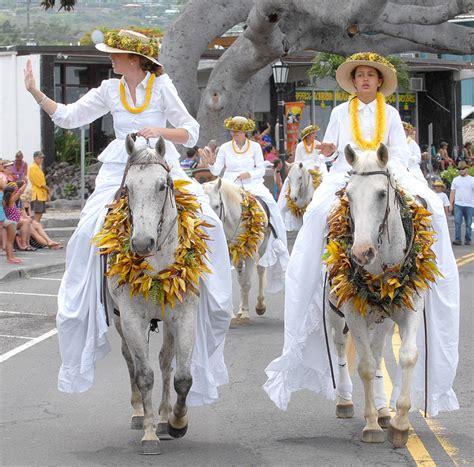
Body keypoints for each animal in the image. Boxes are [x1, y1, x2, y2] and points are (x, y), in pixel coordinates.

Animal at [107, 134, 198, 454]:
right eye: (128, 188)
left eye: (162, 185)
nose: (142, 243)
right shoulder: (132, 318)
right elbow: (144, 375)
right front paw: (148, 435)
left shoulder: (184, 316)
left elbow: (182, 377)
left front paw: (177, 422)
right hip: (119, 319)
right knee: (131, 361)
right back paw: (139, 414)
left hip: (168, 321)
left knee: (166, 362)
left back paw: (162, 417)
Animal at [204, 179, 270, 326]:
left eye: (217, 206)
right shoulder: (229, 255)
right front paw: (232, 315)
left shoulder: (251, 254)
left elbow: (247, 283)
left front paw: (245, 313)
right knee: (241, 279)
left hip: (262, 250)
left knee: (260, 271)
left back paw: (260, 305)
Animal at [328, 144, 428, 450]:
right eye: (348, 194)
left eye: (381, 194)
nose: (362, 252)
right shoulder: (352, 313)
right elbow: (365, 366)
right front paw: (371, 424)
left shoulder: (410, 307)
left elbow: (407, 356)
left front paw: (399, 423)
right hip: (334, 311)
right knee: (341, 345)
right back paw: (345, 401)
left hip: (383, 317)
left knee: (379, 348)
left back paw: (385, 411)